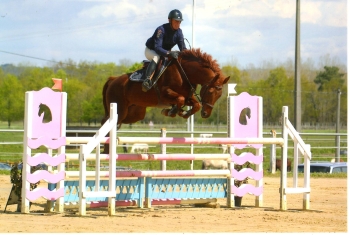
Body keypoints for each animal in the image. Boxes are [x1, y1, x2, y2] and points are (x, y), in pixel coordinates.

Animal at [102, 47, 230, 130]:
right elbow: (180, 99)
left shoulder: (188, 97)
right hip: (119, 109)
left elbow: (195, 104)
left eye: (219, 95)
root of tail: (113, 79)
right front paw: (171, 111)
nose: (206, 114)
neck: (184, 72)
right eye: (210, 91)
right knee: (107, 122)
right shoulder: (165, 94)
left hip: (134, 113)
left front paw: (183, 113)